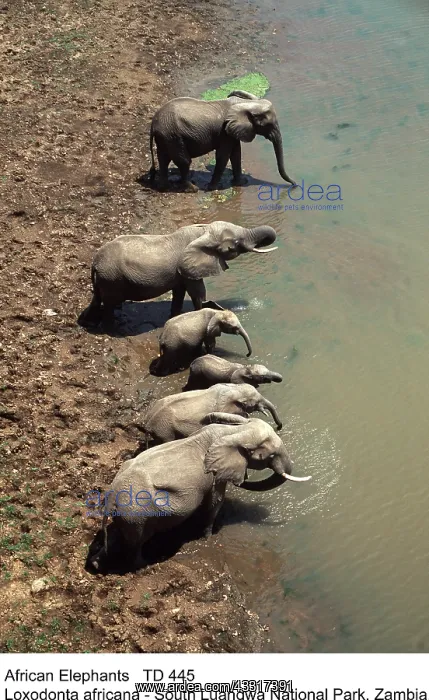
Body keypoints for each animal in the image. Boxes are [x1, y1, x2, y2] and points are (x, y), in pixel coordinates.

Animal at [78, 221, 277, 326]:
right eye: (234, 244)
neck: (202, 232)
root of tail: (94, 263)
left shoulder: (182, 272)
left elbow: (180, 292)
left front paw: (175, 316)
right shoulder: (189, 269)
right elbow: (197, 292)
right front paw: (204, 309)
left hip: (105, 280)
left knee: (98, 299)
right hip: (112, 279)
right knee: (109, 303)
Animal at [90, 414, 311, 571]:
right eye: (269, 456)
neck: (234, 431)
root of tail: (111, 497)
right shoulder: (214, 474)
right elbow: (214, 502)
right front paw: (208, 538)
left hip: (128, 516)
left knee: (119, 535)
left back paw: (97, 564)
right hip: (138, 514)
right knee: (135, 543)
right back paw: (144, 566)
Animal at [143, 383, 283, 445]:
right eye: (255, 402)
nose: (279, 426)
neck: (234, 389)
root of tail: (148, 424)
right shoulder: (224, 410)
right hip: (165, 430)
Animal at [149, 89, 297, 191]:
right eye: (268, 125)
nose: (295, 184)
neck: (246, 104)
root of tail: (153, 122)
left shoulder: (231, 132)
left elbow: (236, 153)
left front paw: (241, 183)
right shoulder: (224, 132)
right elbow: (223, 155)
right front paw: (212, 188)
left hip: (166, 137)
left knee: (163, 159)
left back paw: (164, 187)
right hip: (173, 136)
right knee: (184, 161)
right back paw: (193, 189)